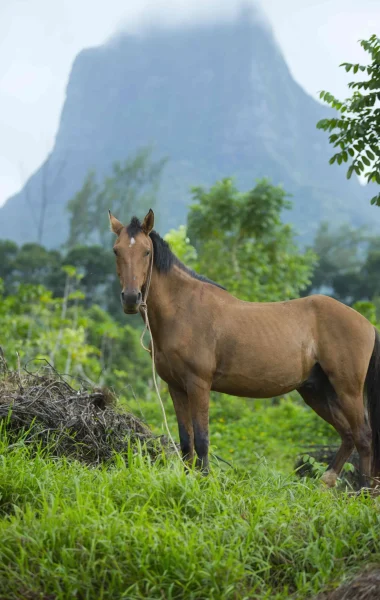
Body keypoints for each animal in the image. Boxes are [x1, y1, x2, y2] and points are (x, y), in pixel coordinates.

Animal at [108, 209, 380, 490]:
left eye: (146, 252)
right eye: (117, 250)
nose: (131, 298)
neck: (183, 309)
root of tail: (367, 325)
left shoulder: (198, 385)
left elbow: (202, 439)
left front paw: (205, 484)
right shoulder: (176, 387)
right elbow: (185, 441)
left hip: (347, 390)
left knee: (363, 436)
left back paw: (366, 492)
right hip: (316, 391)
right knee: (348, 435)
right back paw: (326, 482)